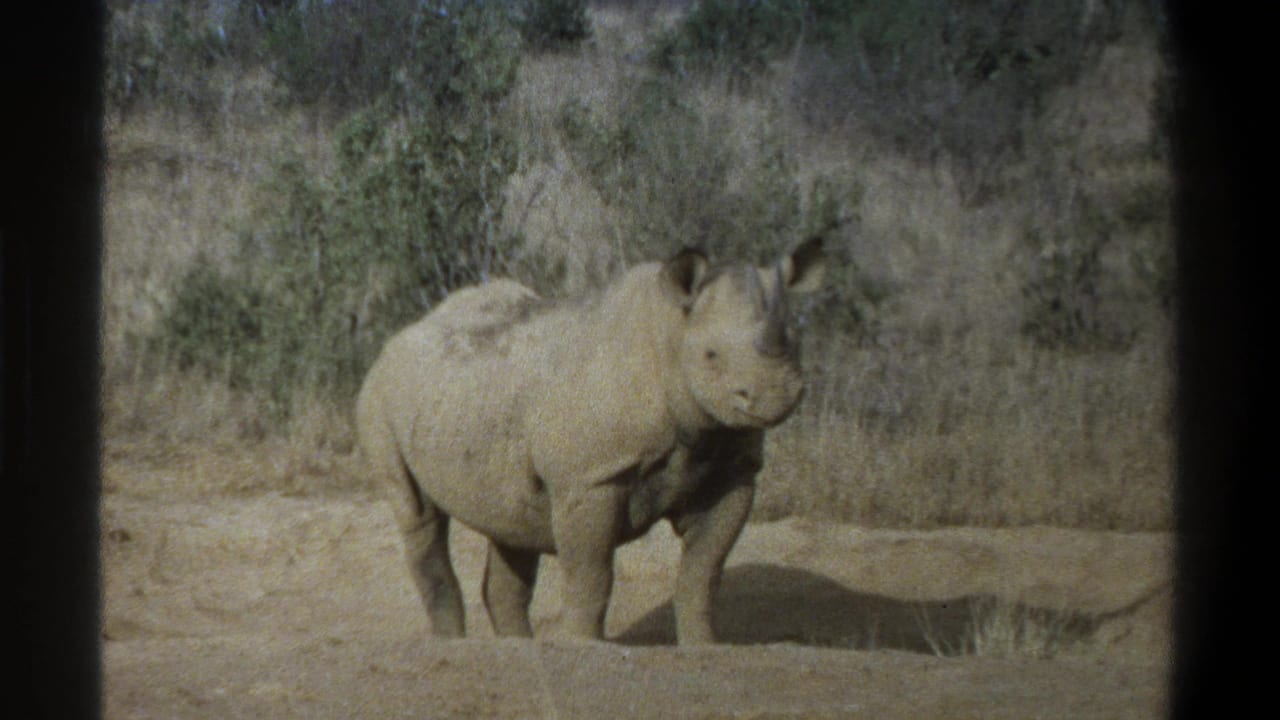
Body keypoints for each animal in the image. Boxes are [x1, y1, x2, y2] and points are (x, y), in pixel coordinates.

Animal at [355, 239, 825, 644]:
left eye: (795, 344)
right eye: (711, 356)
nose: (776, 395)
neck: (671, 336)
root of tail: (400, 336)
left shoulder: (732, 471)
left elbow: (702, 575)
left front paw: (703, 647)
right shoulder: (590, 478)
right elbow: (592, 574)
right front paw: (584, 645)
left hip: (468, 399)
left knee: (510, 523)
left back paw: (519, 647)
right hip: (381, 396)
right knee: (418, 513)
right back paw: (454, 642)